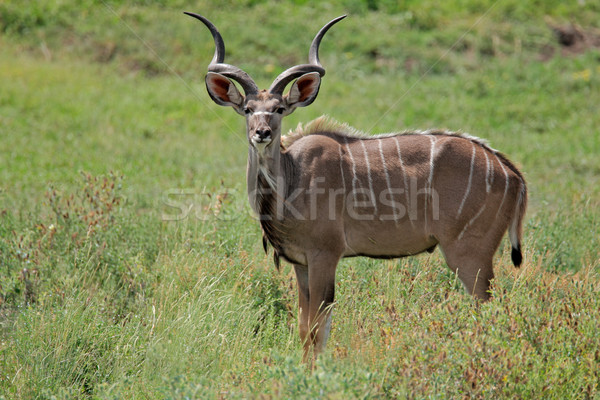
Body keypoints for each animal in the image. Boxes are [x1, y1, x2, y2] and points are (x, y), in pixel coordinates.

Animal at [185, 12, 528, 360]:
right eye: (247, 110)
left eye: (279, 109)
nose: (262, 133)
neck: (293, 178)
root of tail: (511, 174)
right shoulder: (301, 263)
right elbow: (304, 328)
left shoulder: (325, 255)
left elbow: (317, 328)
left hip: (468, 254)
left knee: (488, 310)